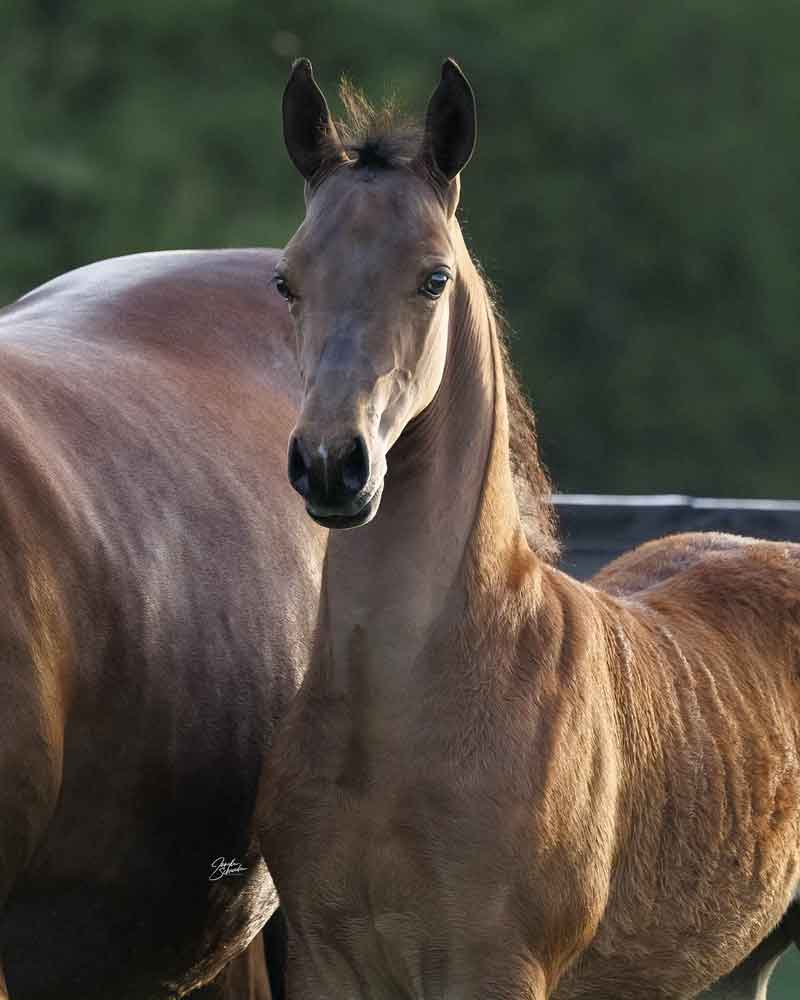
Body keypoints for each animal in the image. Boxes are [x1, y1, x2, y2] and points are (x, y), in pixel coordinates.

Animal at [260, 59, 800, 999]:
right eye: (288, 280)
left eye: (433, 278)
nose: (332, 463)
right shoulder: (326, 962)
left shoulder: (496, 966)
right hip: (735, 963)